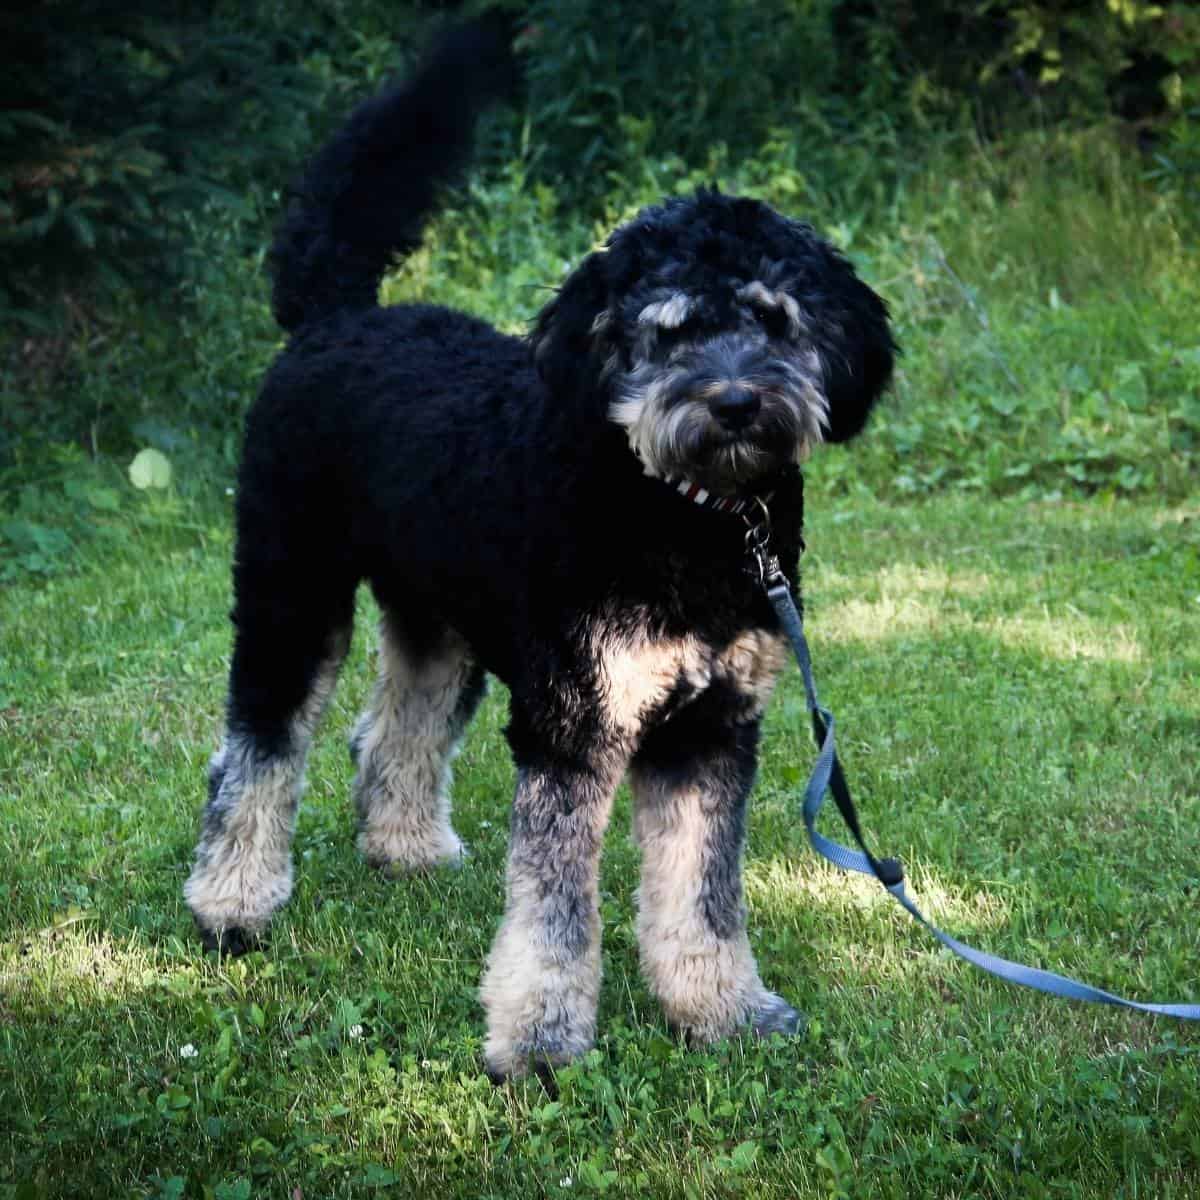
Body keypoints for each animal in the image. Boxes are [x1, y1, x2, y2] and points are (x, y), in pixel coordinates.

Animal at [182, 18, 897, 1084]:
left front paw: (722, 1010)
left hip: (441, 624)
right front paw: (541, 1040)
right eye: (669, 329)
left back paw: (404, 846)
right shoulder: (572, 725)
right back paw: (232, 901)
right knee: (258, 749)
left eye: (777, 317)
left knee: (393, 730)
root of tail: (338, 316)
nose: (734, 402)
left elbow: (702, 894)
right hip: (290, 596)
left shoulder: (711, 728)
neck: (683, 519)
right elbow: (556, 909)